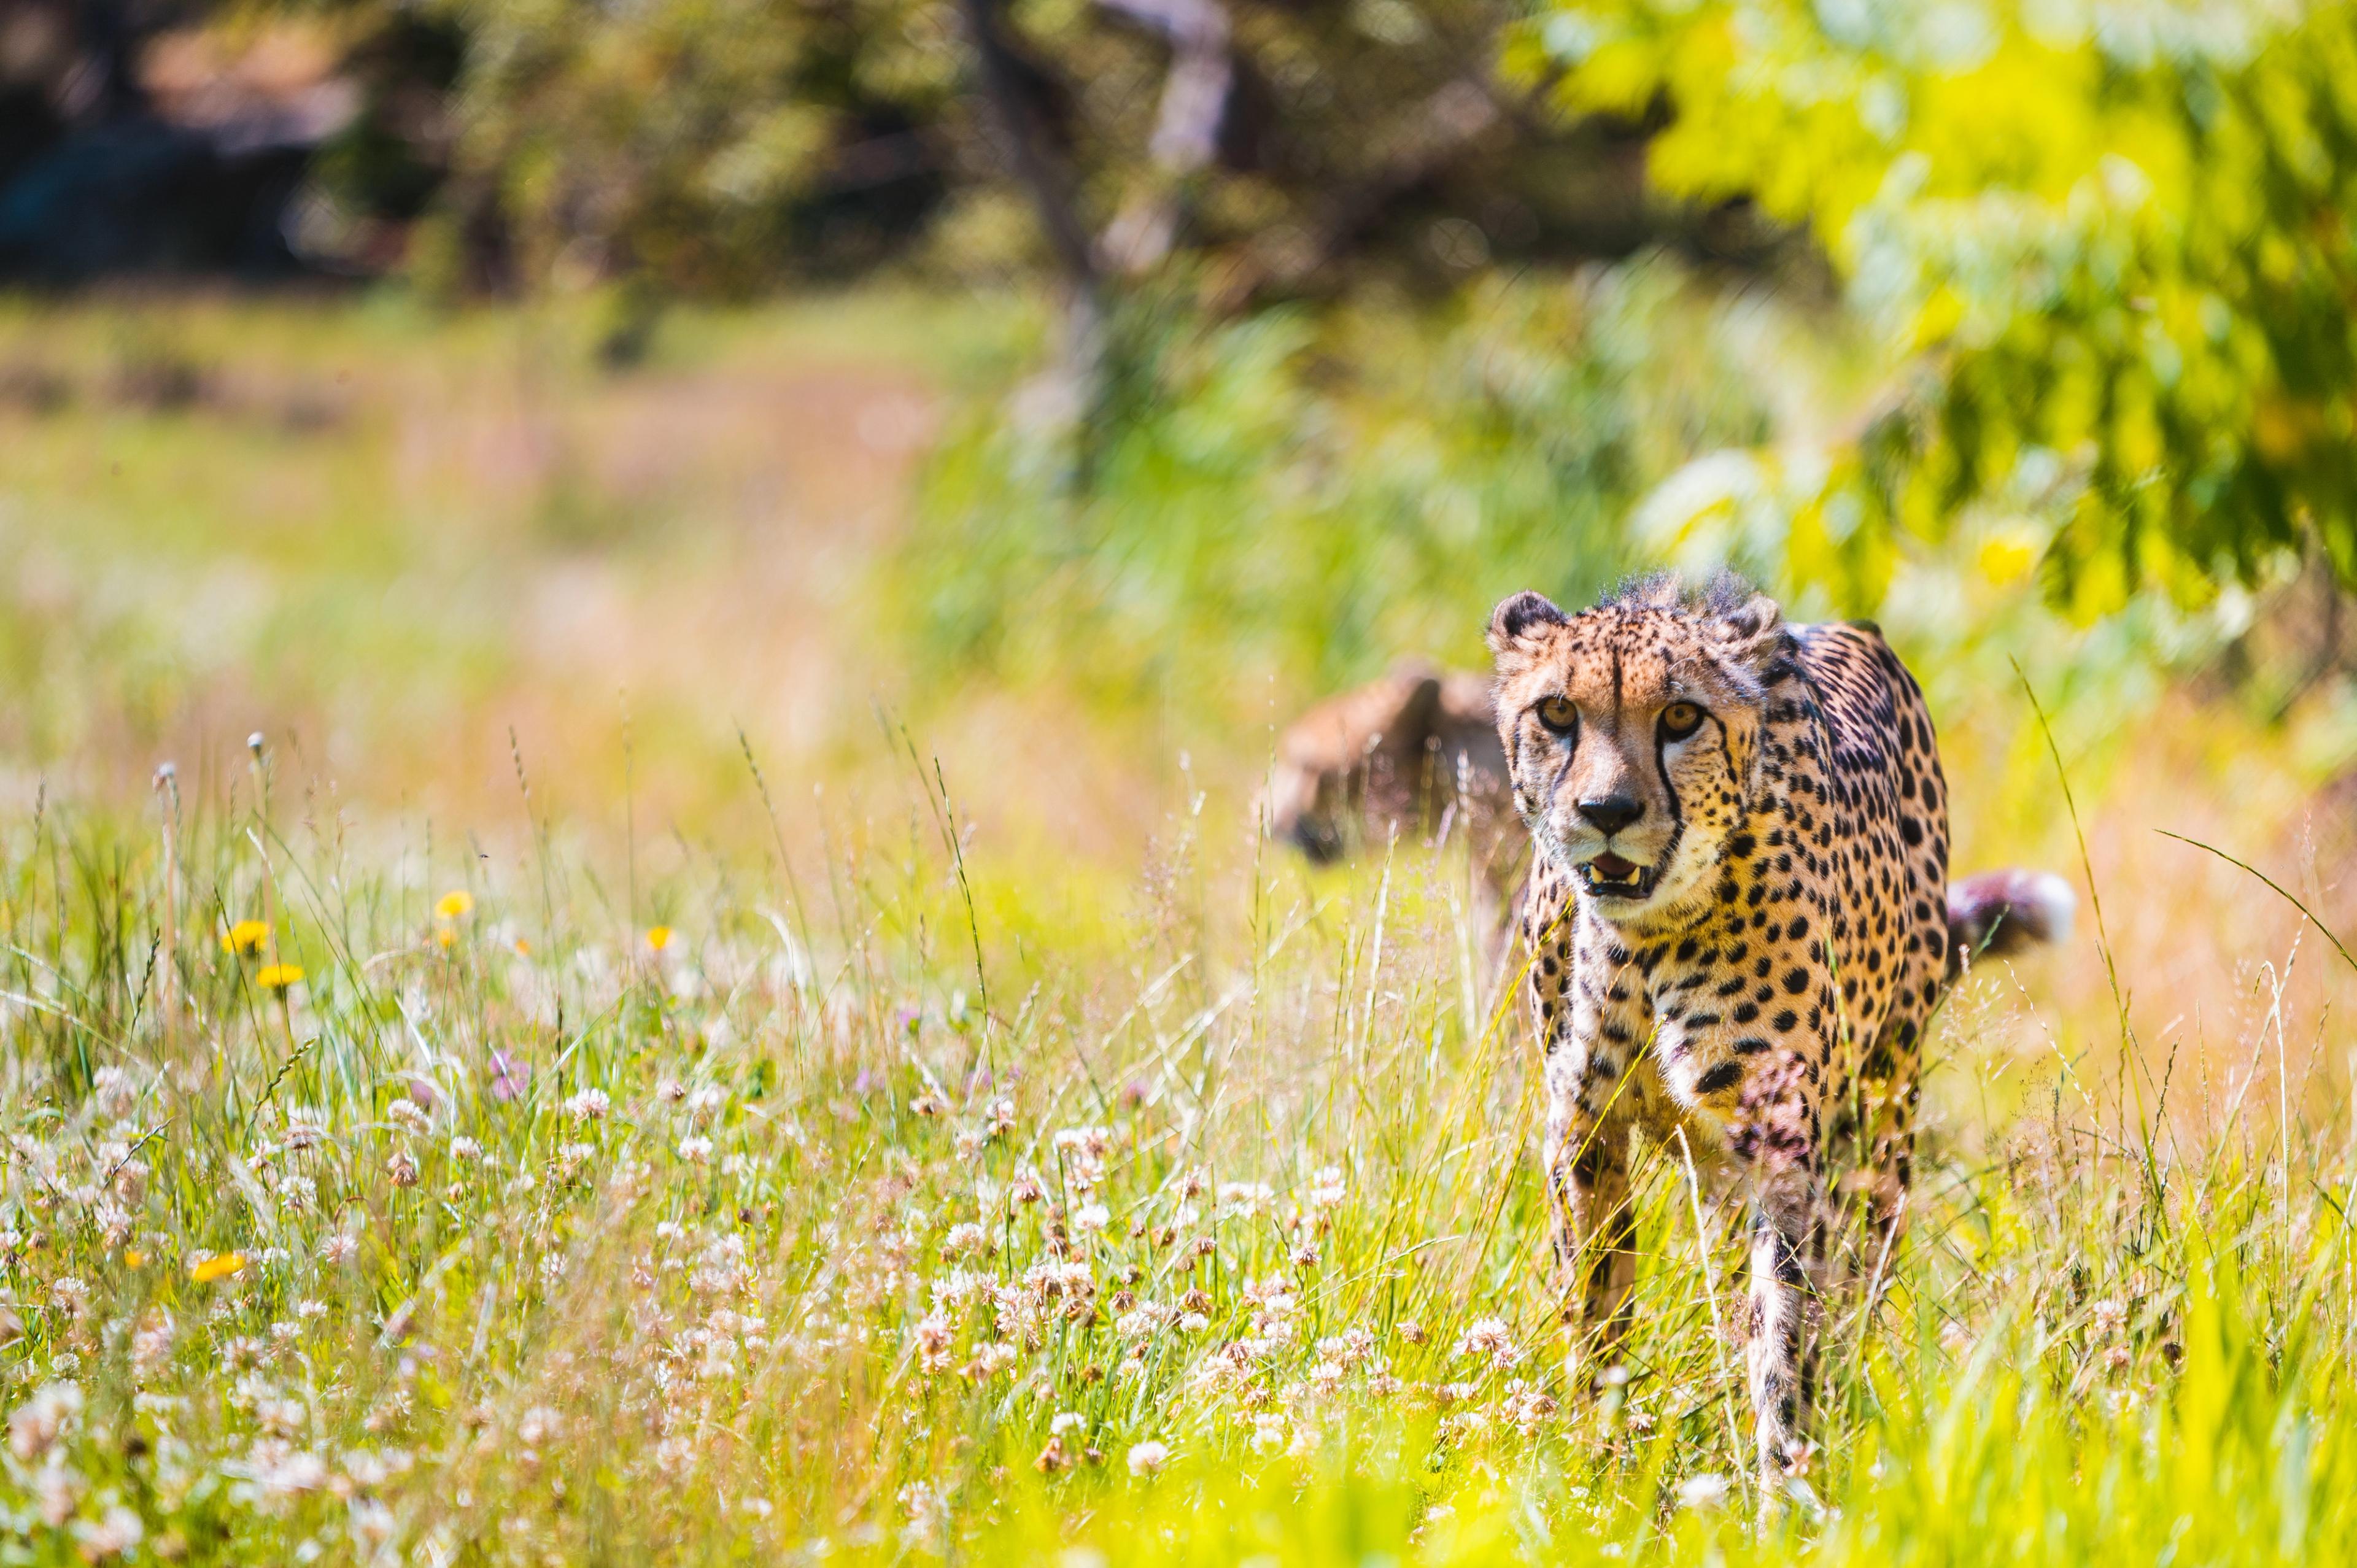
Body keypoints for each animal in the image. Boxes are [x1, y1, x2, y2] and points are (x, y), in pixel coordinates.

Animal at [1486, 572, 2071, 1492]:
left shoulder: (1784, 1144)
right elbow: (1596, 1306)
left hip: (1882, 1112)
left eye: (1681, 716)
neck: (1645, 938)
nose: (1607, 809)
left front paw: (1786, 1487)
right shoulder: (1585, 1126)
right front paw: (1597, 1469)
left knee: (1857, 1280)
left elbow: (1786, 1333)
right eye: (1556, 712)